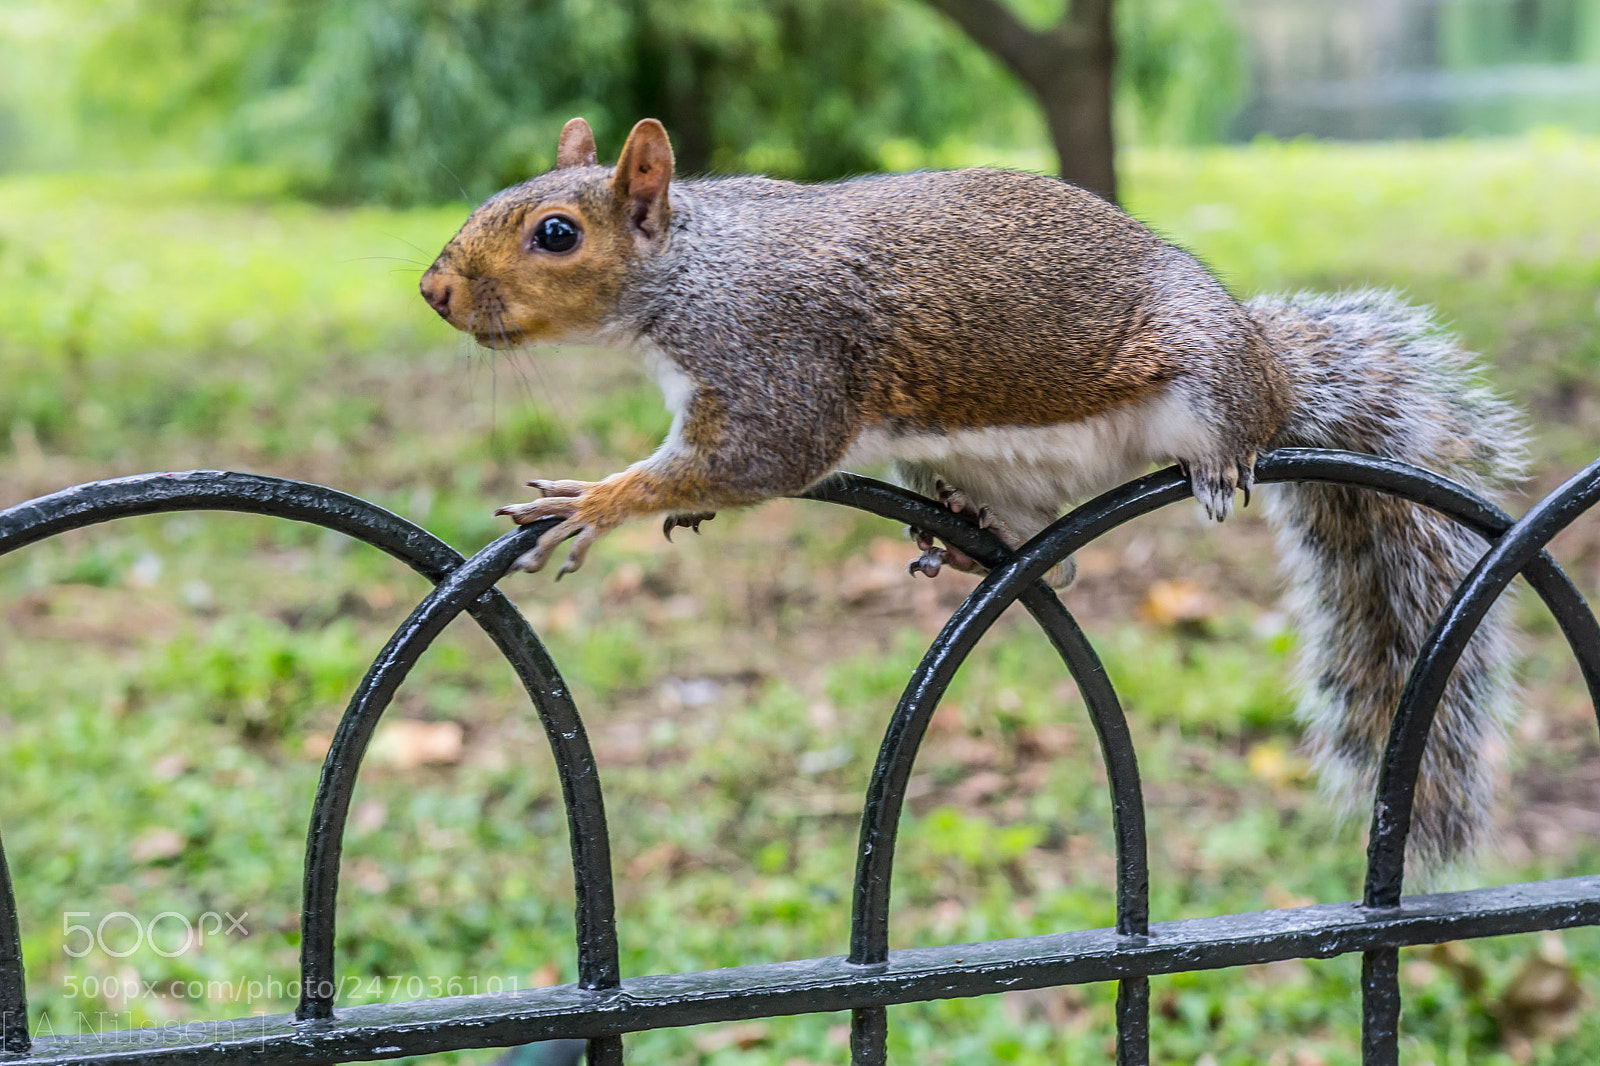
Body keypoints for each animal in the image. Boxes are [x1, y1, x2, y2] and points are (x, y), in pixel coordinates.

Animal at [420, 117, 1527, 866]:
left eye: (555, 233)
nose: (434, 290)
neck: (690, 271)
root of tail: (1275, 371)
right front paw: (663, 499)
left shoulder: (778, 364)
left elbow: (763, 463)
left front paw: (596, 501)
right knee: (1057, 562)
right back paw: (964, 534)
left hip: (1210, 373)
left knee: (1227, 432)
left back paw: (1216, 463)